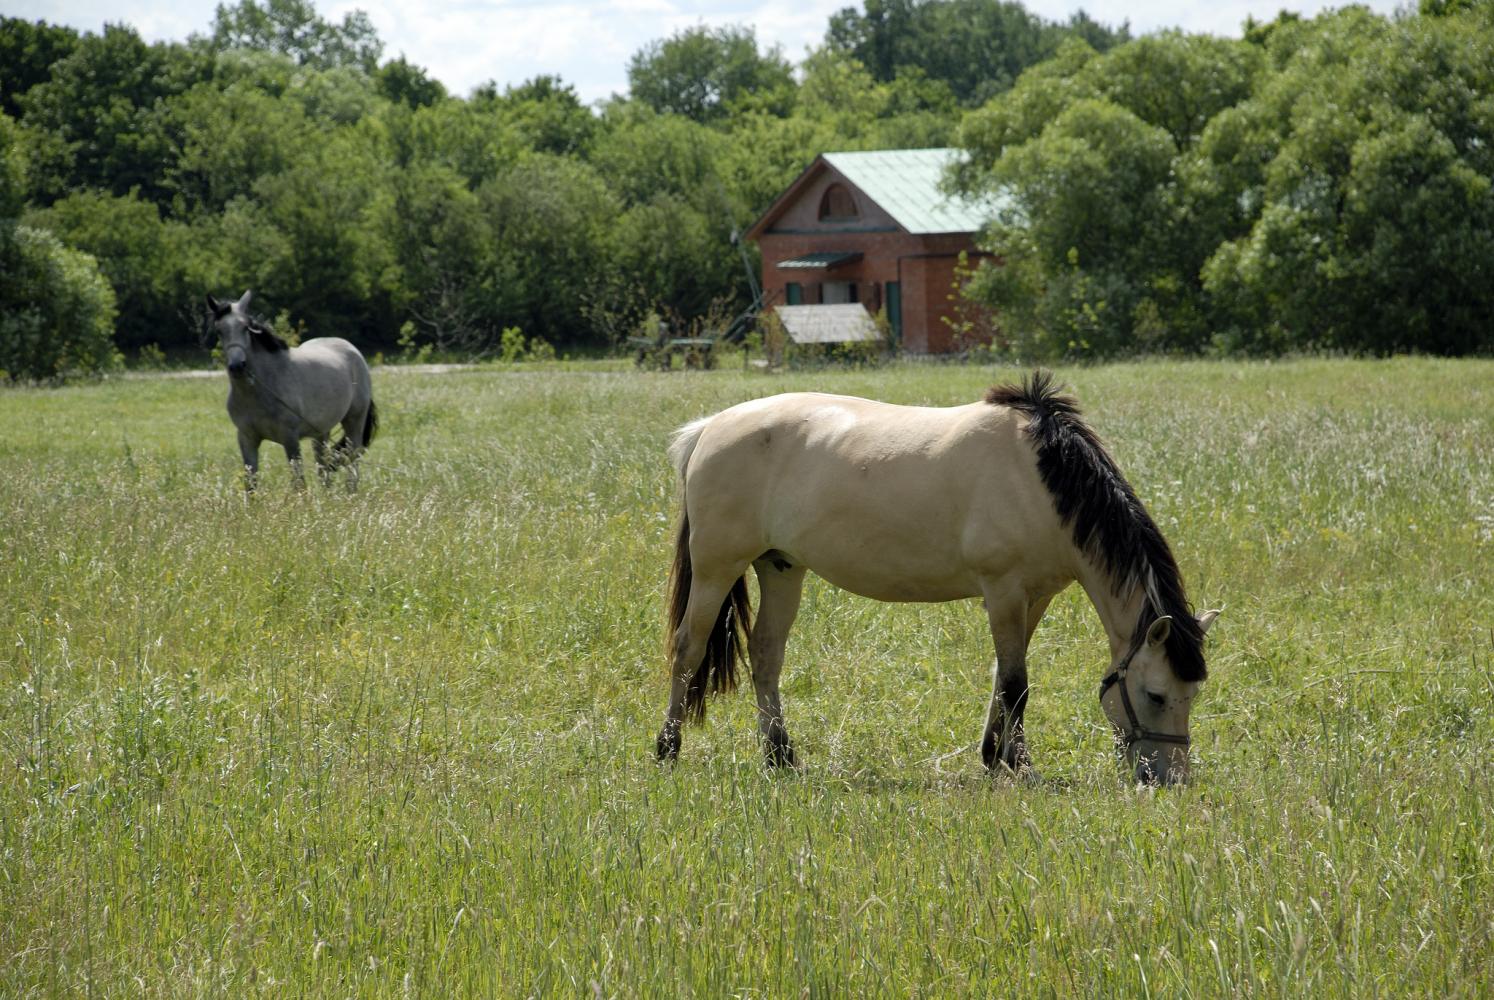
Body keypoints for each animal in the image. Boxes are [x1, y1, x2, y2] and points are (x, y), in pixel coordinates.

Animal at [206, 291, 378, 492]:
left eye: (245, 328)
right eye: (219, 331)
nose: (237, 366)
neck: (260, 391)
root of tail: (353, 351)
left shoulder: (290, 438)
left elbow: (298, 482)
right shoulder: (246, 438)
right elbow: (251, 483)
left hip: (354, 421)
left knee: (352, 457)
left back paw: (351, 492)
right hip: (321, 432)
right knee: (323, 466)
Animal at [654, 371, 1219, 785]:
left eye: (1193, 694)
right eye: (1156, 695)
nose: (1169, 779)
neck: (1042, 479)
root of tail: (709, 428)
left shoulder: (1034, 597)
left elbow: (1004, 675)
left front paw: (995, 757)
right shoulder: (1003, 589)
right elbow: (1016, 684)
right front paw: (1020, 768)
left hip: (781, 568)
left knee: (766, 653)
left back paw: (780, 757)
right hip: (717, 568)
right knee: (688, 648)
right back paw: (667, 749)